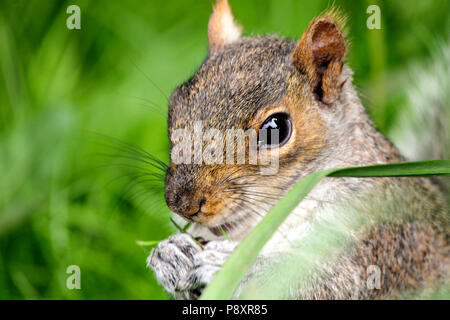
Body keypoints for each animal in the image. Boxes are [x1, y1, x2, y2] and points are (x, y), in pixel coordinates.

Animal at [147, 0, 446, 300]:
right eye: (174, 106)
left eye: (276, 129)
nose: (181, 204)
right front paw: (168, 254)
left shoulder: (378, 234)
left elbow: (325, 284)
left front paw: (231, 264)